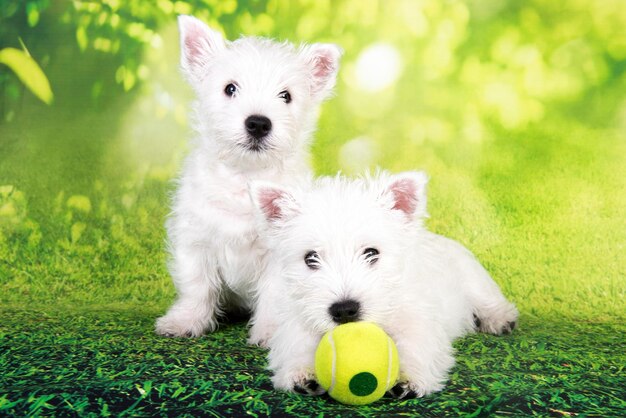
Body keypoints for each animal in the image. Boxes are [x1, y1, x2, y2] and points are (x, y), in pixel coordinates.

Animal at [156, 14, 342, 338]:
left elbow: (274, 296)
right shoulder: (196, 241)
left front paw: (270, 333)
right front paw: (184, 322)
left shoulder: (280, 256)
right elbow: (197, 286)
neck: (245, 178)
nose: (258, 123)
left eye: (286, 96)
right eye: (230, 88)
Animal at [249, 172, 516, 398]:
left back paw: (500, 319)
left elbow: (416, 346)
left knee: (488, 301)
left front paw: (407, 379)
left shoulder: (417, 319)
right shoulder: (298, 317)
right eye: (310, 258)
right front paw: (301, 373)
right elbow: (296, 344)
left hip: (474, 280)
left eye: (371, 253)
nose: (344, 310)